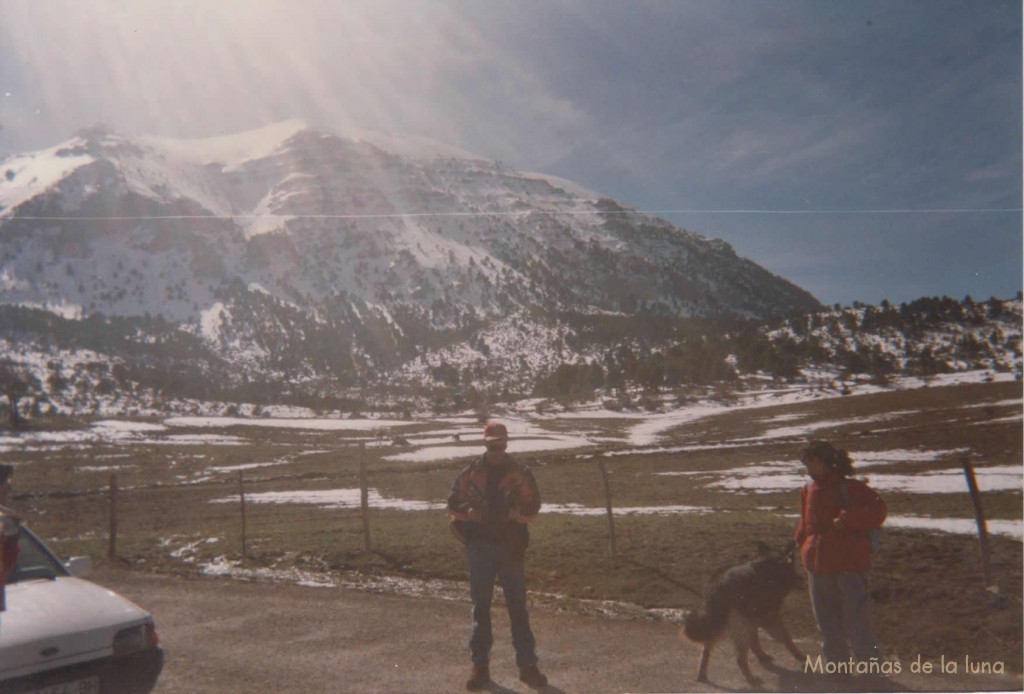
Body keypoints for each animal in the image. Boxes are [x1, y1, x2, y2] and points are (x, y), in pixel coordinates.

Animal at [684, 544, 802, 683]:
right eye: (792, 567)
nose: (801, 579)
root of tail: (720, 583)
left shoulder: (754, 616)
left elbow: (756, 641)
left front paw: (762, 655)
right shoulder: (769, 616)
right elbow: (786, 637)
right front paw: (799, 655)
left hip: (720, 620)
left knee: (706, 646)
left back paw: (702, 673)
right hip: (739, 623)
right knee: (739, 658)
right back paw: (750, 678)